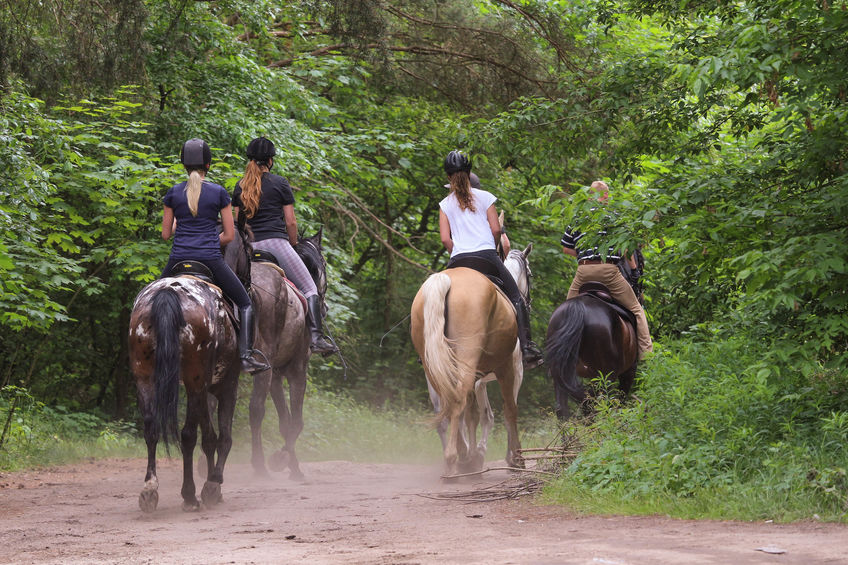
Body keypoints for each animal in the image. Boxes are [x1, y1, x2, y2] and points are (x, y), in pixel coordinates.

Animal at [224, 227, 330, 478]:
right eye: (323, 264)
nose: (325, 307)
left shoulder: (276, 375)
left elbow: (284, 422)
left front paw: (292, 464)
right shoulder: (296, 370)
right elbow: (296, 422)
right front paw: (282, 461)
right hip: (264, 366)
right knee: (255, 410)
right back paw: (260, 465)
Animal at [410, 243, 528, 476]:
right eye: (530, 273)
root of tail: (445, 280)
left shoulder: (478, 379)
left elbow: (474, 415)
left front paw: (475, 455)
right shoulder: (512, 370)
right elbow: (508, 410)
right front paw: (514, 458)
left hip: (434, 368)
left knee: (447, 410)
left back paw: (459, 456)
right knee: (460, 404)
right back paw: (455, 459)